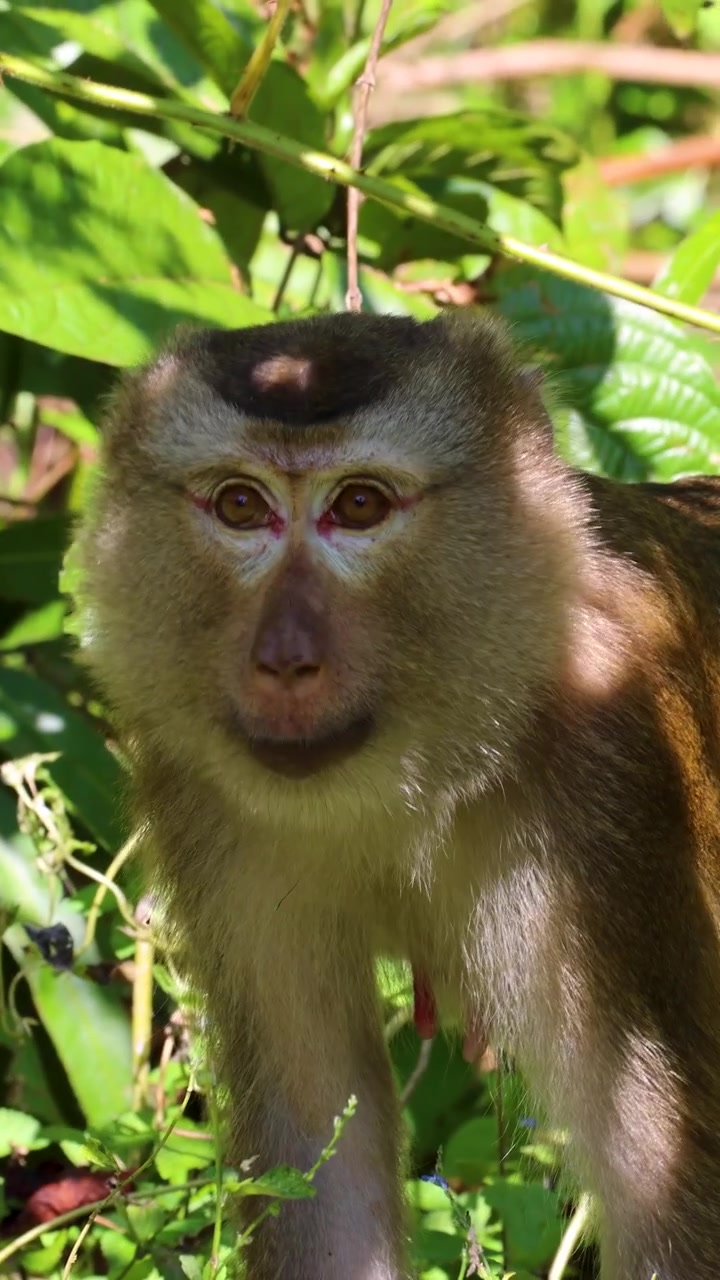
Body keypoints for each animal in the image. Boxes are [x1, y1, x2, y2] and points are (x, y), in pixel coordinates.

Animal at [72, 309, 720, 1280]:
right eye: (240, 507)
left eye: (359, 507)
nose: (285, 658)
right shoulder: (205, 802)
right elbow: (319, 1167)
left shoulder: (617, 796)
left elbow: (667, 1184)